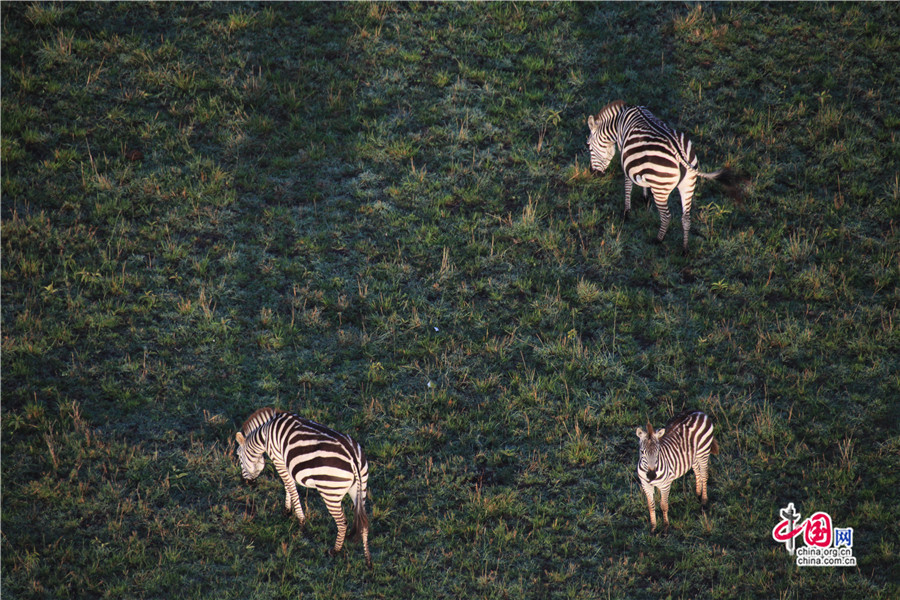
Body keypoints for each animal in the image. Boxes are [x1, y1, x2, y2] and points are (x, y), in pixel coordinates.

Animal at [236, 408, 372, 568]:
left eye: (238, 456)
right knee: (364, 523)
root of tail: (353, 458)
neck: (265, 434)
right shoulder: (284, 462)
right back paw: (368, 561)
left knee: (342, 522)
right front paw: (287, 510)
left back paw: (335, 551)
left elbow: (290, 487)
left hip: (330, 492)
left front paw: (300, 520)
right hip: (361, 489)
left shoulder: (278, 459)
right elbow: (288, 486)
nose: (247, 483)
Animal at [588, 101, 740, 253]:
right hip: (688, 185)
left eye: (589, 146)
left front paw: (627, 212)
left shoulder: (624, 157)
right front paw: (645, 198)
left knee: (666, 216)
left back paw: (658, 240)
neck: (619, 120)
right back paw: (684, 249)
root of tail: (679, 153)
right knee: (686, 218)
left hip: (660, 188)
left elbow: (628, 185)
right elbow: (642, 182)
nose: (593, 173)